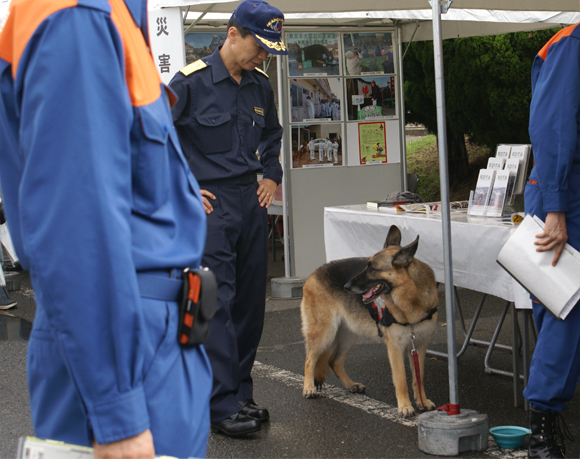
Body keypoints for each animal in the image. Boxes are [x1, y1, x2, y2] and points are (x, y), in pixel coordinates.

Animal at [302, 225, 438, 418]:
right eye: (366, 266)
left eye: (371, 268)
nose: (346, 286)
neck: (411, 297)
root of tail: (315, 272)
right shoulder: (395, 348)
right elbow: (401, 380)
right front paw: (405, 406)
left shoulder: (419, 346)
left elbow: (418, 378)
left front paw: (422, 401)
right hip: (324, 334)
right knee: (309, 360)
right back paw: (308, 388)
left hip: (349, 336)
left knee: (334, 361)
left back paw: (350, 385)